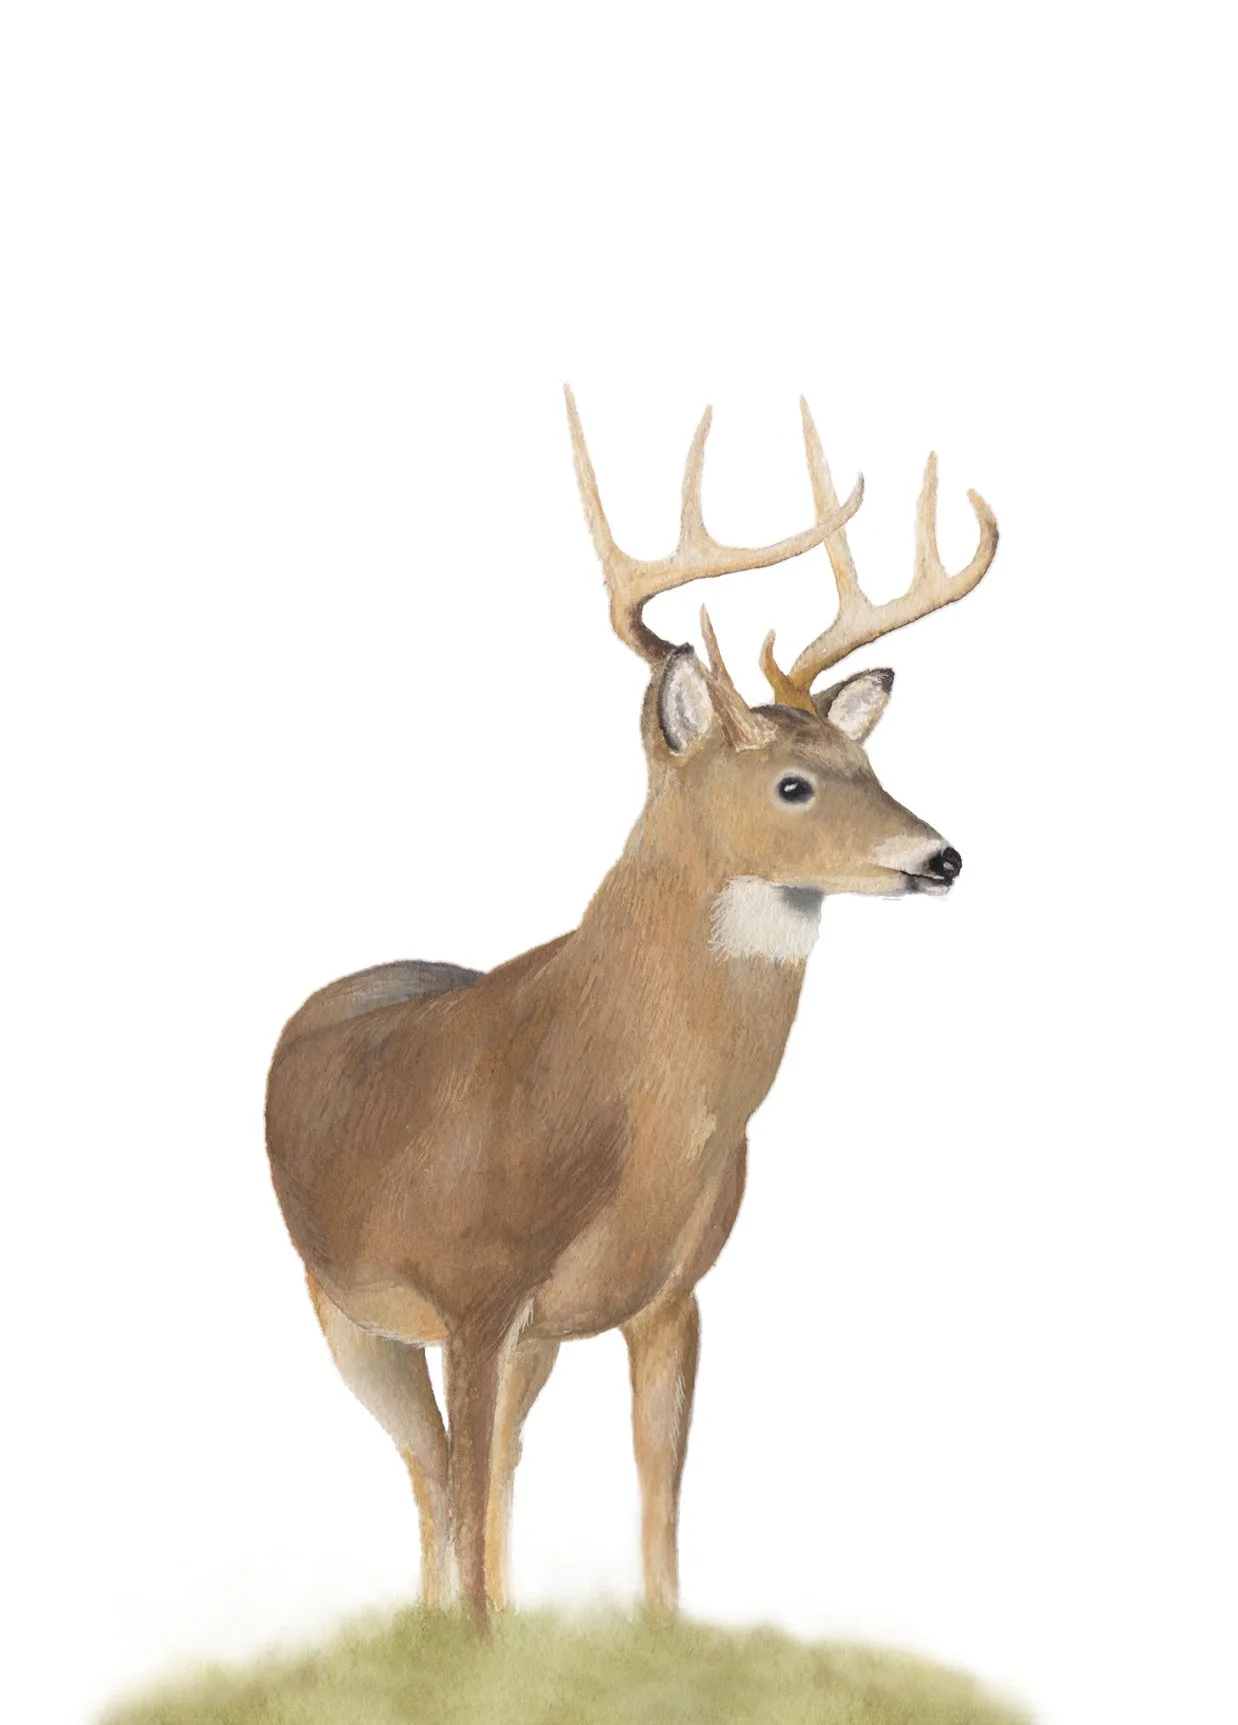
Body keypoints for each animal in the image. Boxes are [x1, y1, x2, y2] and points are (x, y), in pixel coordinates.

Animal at [265, 388, 998, 1634]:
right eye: (791, 784)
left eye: (866, 761)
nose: (940, 857)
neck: (624, 1108)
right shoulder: (472, 1290)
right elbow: (465, 1490)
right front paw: (479, 1652)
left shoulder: (671, 1293)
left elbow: (658, 1499)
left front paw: (651, 1635)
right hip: (342, 1299)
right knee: (432, 1470)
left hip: (516, 1339)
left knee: (479, 1471)